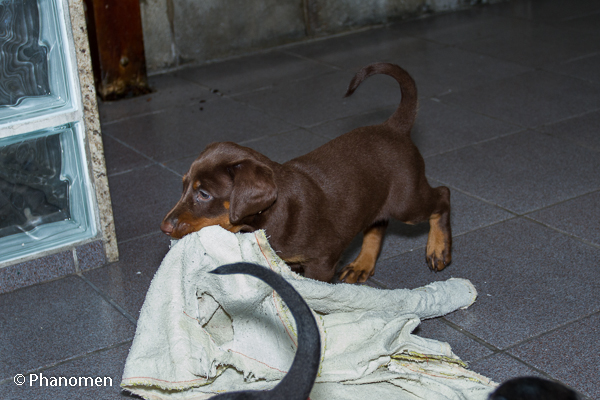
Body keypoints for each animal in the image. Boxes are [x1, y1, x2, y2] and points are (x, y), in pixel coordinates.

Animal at [161, 62, 452, 283]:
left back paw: (438, 249)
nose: (164, 227)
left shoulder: (322, 260)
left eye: (204, 194)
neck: (270, 215)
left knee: (442, 195)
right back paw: (362, 264)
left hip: (407, 200)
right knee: (378, 223)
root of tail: (393, 127)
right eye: (183, 186)